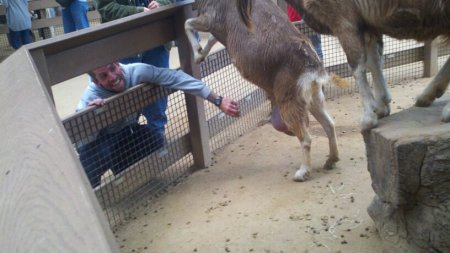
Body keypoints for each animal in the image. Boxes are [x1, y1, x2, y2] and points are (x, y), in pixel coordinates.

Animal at [183, 0, 342, 181]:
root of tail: (313, 70)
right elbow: (209, 38)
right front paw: (201, 54)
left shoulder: (211, 18)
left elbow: (188, 23)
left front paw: (197, 54)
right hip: (314, 99)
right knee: (329, 125)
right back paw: (331, 160)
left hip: (290, 102)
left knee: (306, 139)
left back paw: (302, 173)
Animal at [241, 0, 450, 130]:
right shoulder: (367, 25)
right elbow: (374, 59)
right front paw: (382, 106)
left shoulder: (343, 20)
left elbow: (357, 66)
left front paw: (368, 117)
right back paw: (426, 96)